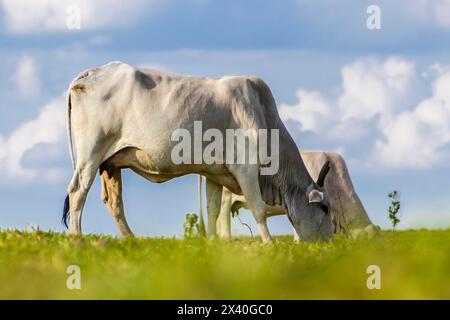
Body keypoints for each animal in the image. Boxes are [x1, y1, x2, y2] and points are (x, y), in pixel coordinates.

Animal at [61, 62, 332, 242]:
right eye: (325, 208)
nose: (331, 244)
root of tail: (90, 73)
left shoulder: (214, 174)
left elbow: (212, 212)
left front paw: (213, 245)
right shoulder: (246, 168)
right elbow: (258, 209)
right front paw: (269, 244)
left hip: (111, 164)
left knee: (114, 203)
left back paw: (131, 238)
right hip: (91, 152)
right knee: (77, 191)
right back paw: (77, 237)